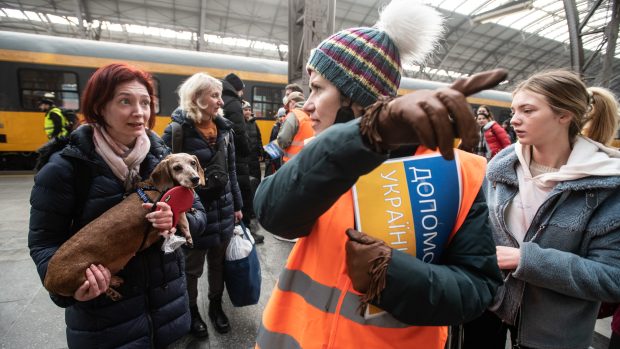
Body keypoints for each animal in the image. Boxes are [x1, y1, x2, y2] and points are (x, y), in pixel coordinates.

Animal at [42, 152, 206, 300]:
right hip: (84, 276)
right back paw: (112, 291)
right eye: (177, 167)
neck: (154, 187)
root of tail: (48, 281)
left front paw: (192, 209)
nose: (195, 179)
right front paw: (188, 236)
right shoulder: (167, 207)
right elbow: (183, 219)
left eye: (193, 163)